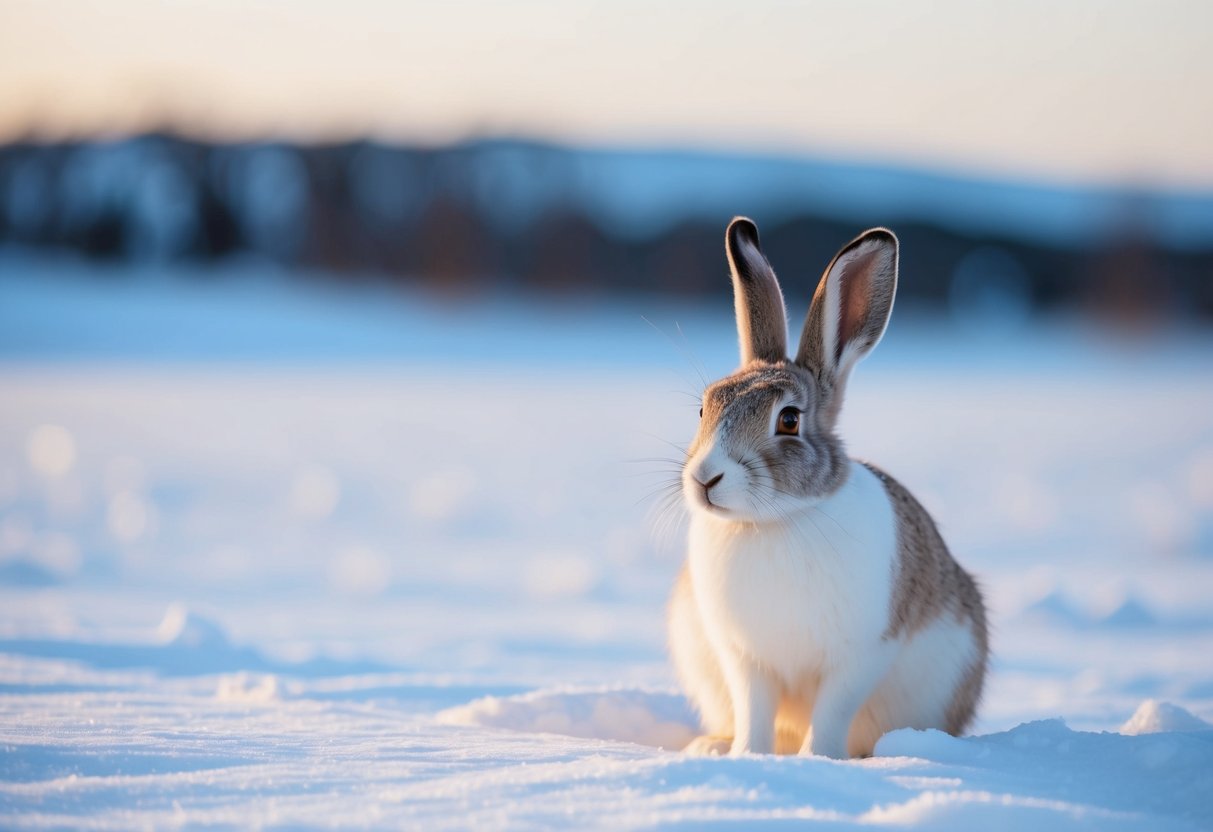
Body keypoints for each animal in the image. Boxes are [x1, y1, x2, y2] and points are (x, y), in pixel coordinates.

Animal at [667, 217, 988, 759]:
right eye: (705, 408)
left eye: (789, 420)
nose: (705, 478)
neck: (775, 521)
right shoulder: (744, 658)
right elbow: (754, 709)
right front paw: (748, 755)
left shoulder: (860, 655)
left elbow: (832, 711)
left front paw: (816, 760)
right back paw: (712, 745)